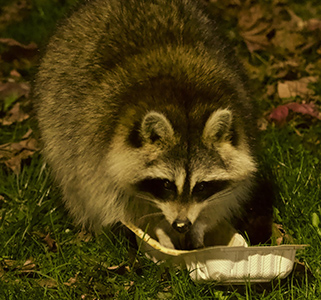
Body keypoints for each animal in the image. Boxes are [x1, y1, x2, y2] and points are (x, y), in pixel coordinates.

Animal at [34, 0, 270, 248]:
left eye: (201, 186)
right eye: (166, 184)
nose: (181, 225)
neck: (184, 101)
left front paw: (199, 228)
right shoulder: (96, 154)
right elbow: (119, 203)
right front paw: (158, 232)